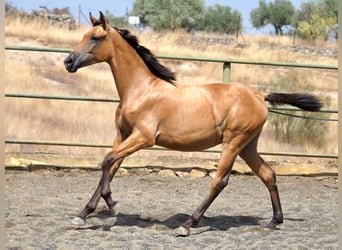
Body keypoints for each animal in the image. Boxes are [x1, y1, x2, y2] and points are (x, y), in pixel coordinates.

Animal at [65, 12, 324, 236]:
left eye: (95, 38)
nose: (68, 61)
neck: (141, 90)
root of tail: (259, 95)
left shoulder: (143, 138)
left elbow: (107, 160)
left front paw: (112, 204)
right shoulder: (122, 135)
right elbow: (109, 167)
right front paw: (82, 215)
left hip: (234, 142)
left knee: (220, 181)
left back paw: (188, 224)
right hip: (248, 145)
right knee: (268, 174)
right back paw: (274, 221)